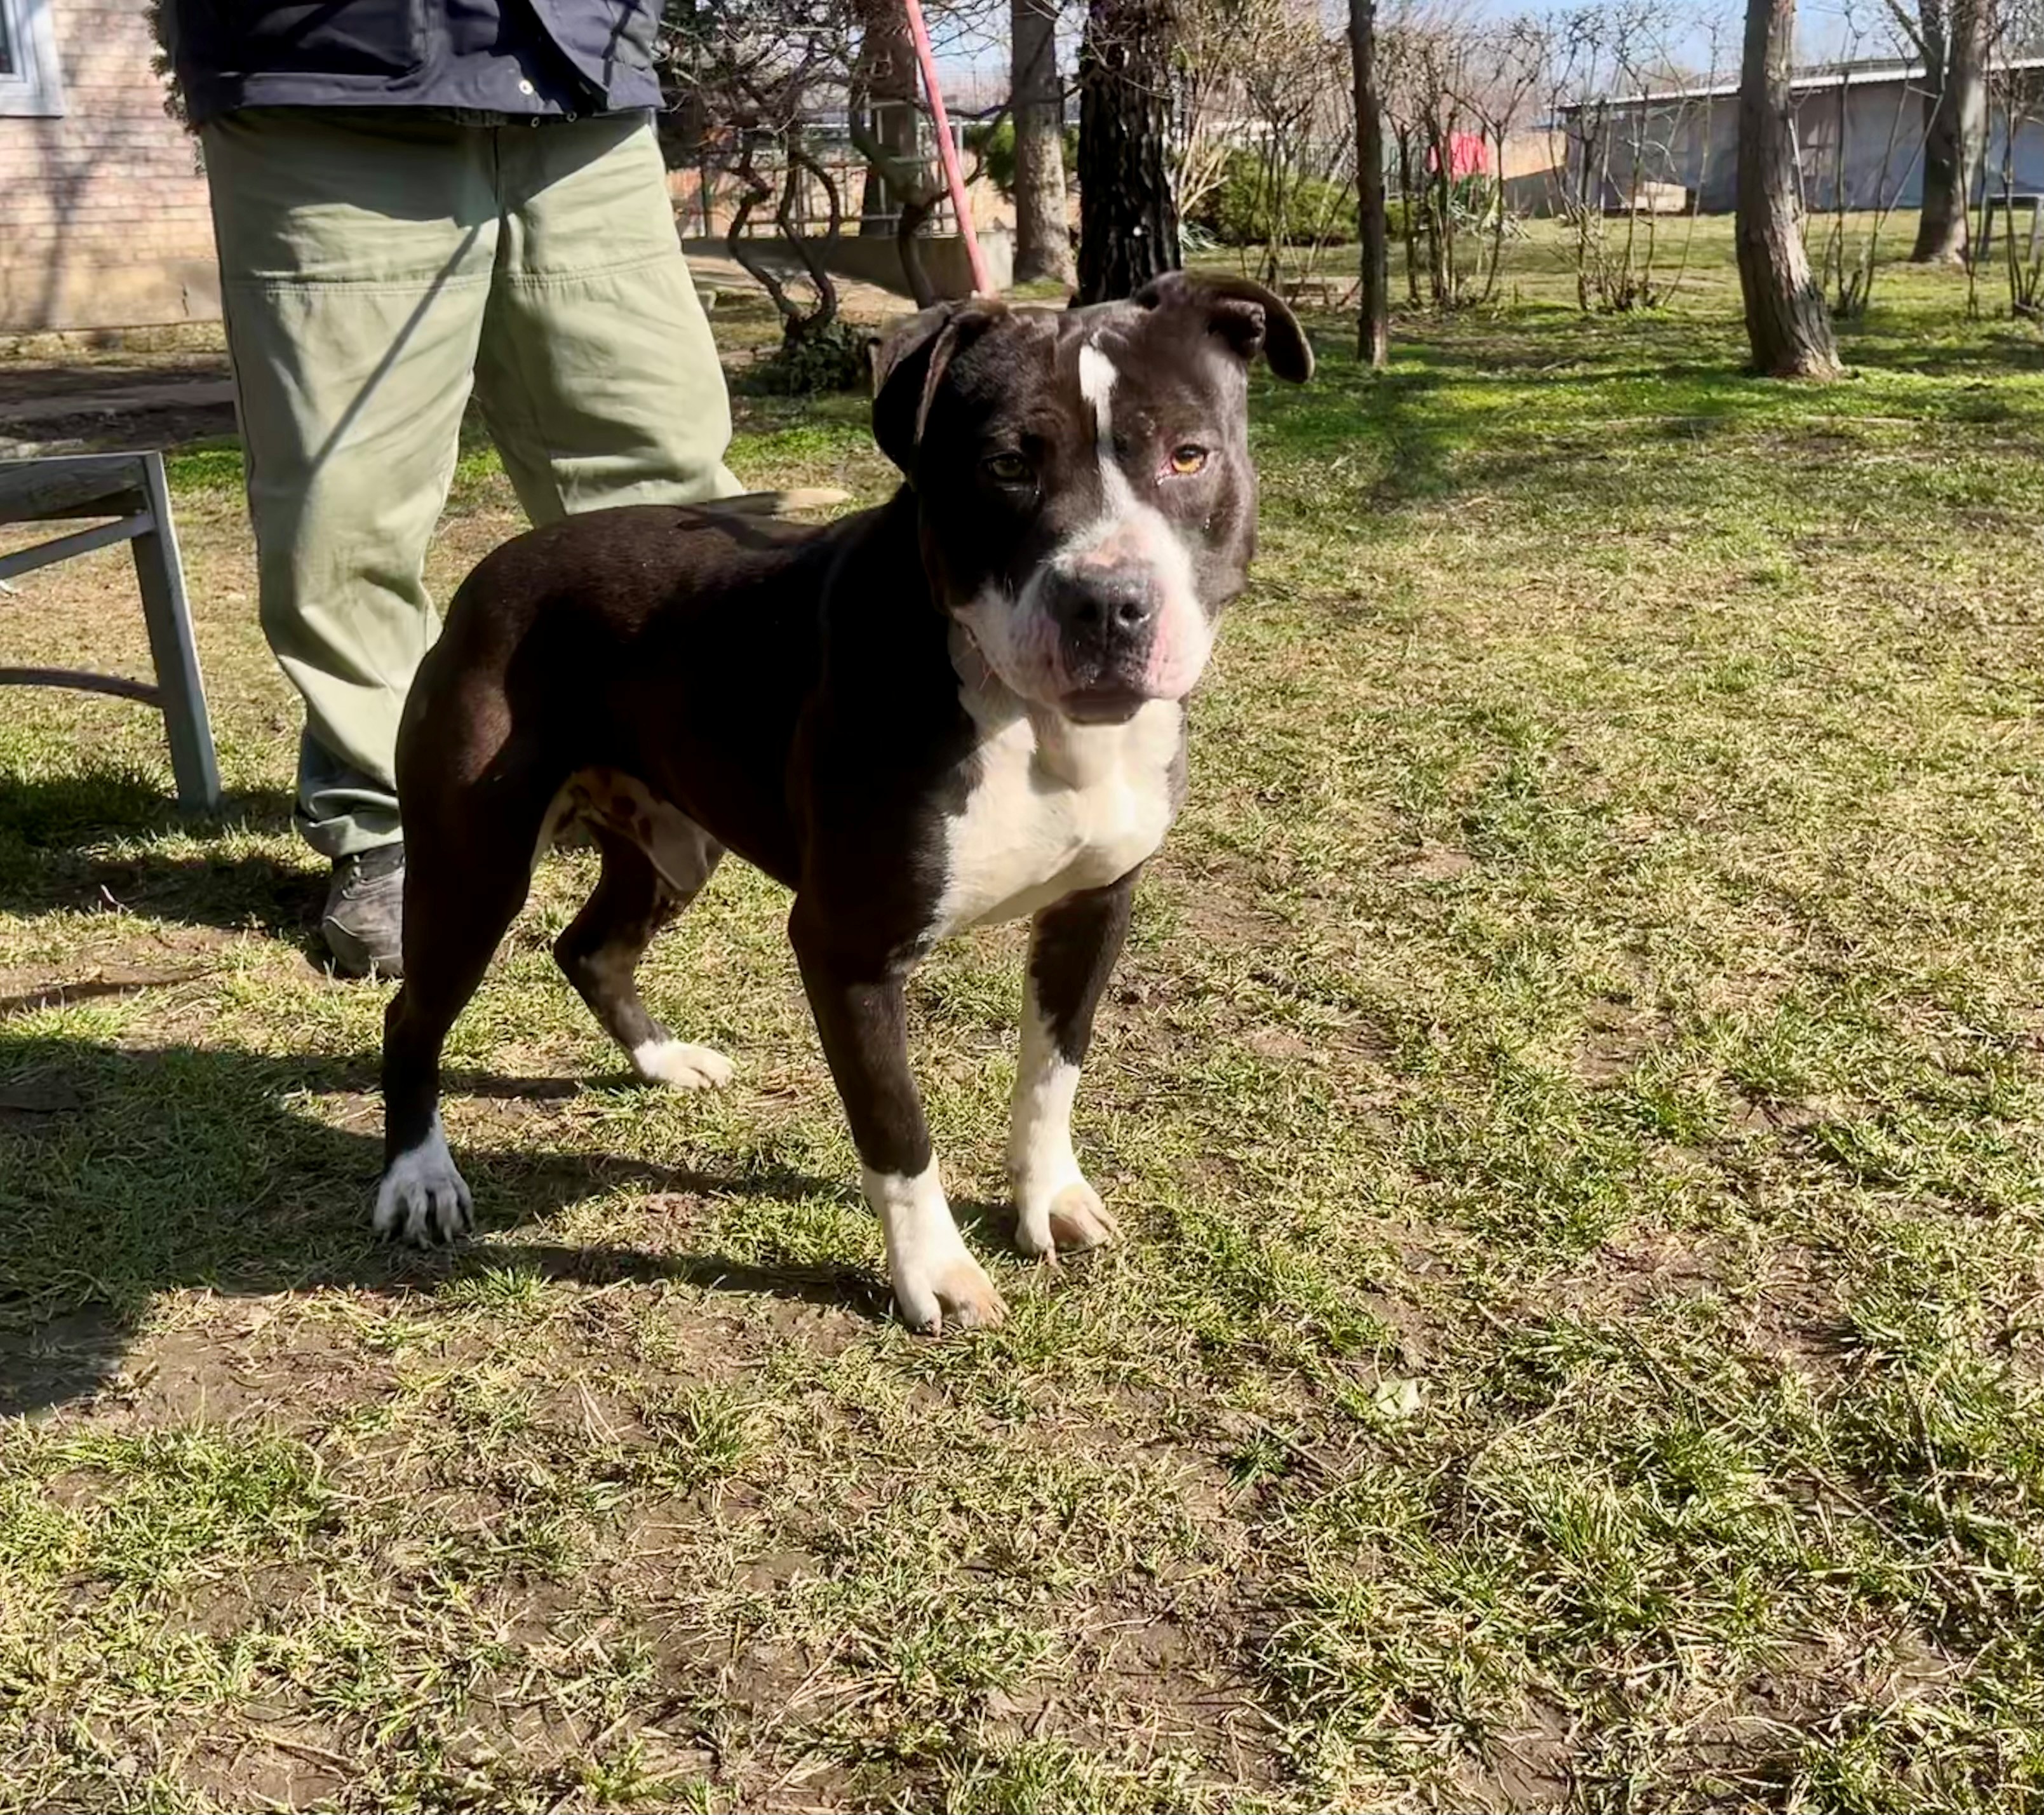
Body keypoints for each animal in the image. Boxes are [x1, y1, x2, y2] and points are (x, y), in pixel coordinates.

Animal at [375, 271, 1312, 1332]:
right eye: (1005, 466)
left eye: (1187, 455)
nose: (1108, 602)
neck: (1028, 718)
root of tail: (493, 567)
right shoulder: (848, 949)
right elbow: (897, 1129)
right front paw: (934, 1272)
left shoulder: (1094, 908)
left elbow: (1051, 1074)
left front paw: (1048, 1197)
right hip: (472, 869)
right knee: (413, 1013)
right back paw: (418, 1177)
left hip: (671, 841)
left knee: (589, 946)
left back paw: (662, 1060)